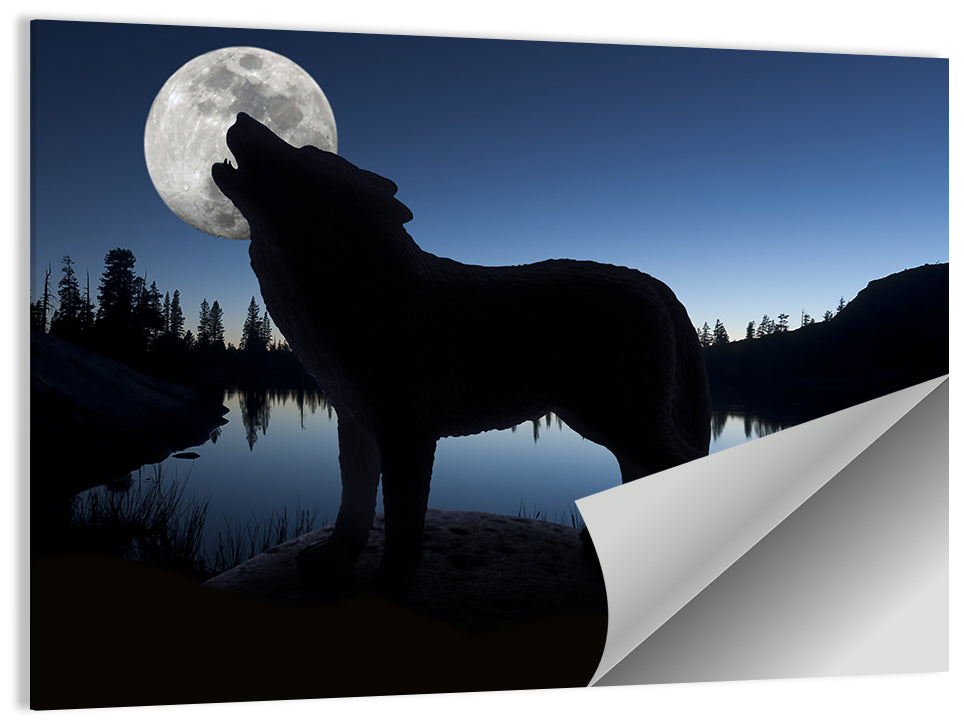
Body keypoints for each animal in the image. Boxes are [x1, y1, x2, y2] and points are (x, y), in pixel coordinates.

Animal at [213, 112, 711, 595]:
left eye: (304, 151)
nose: (240, 115)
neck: (361, 292)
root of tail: (654, 284)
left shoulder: (407, 434)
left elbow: (402, 528)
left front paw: (386, 588)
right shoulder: (356, 425)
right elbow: (351, 511)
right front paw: (333, 562)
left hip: (618, 419)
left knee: (681, 465)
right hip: (599, 421)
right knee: (640, 472)